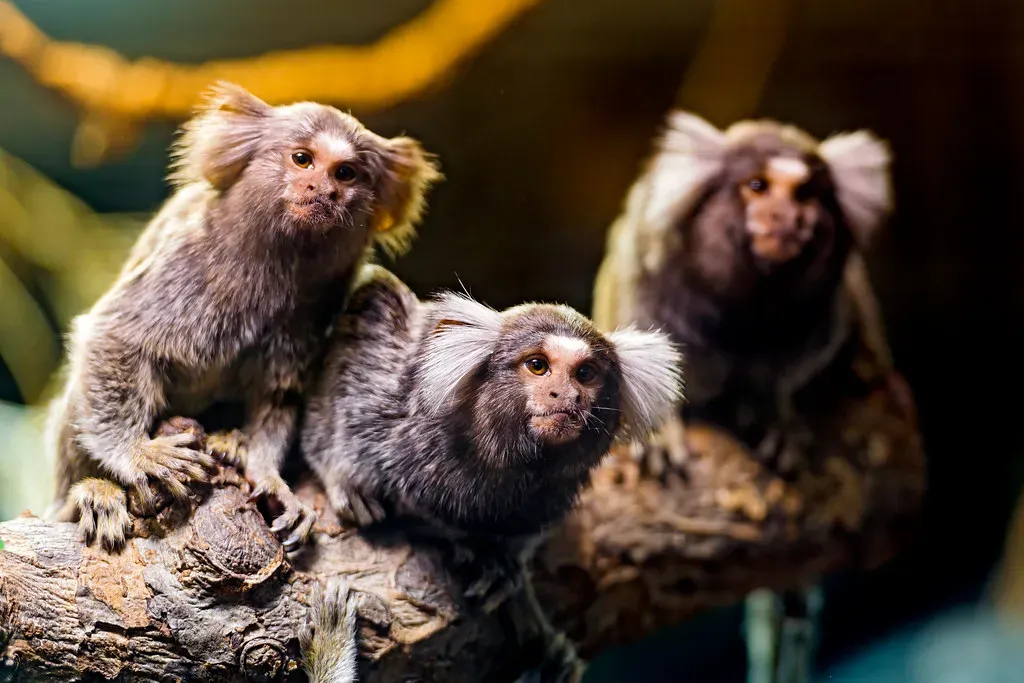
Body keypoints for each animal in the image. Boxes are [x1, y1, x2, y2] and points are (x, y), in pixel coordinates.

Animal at [43, 83, 441, 552]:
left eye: (346, 173)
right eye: (303, 159)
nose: (324, 191)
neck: (277, 269)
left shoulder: (313, 309)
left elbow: (279, 392)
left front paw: (268, 476)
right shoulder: (184, 266)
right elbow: (113, 337)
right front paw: (138, 453)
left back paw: (229, 443)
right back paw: (91, 493)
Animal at [592, 110, 895, 474]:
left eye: (804, 194)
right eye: (758, 186)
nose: (787, 218)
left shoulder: (829, 298)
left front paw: (776, 415)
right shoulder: (648, 256)